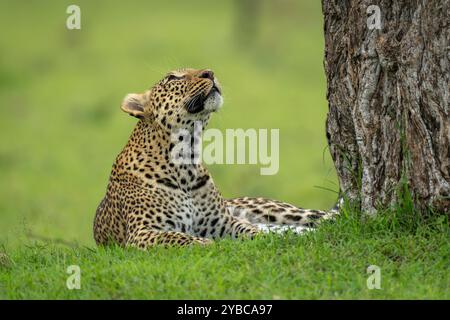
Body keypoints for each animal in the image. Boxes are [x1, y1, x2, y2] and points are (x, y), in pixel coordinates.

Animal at [93, 67, 340, 248]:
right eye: (173, 77)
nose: (209, 73)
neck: (186, 158)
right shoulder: (142, 232)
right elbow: (179, 238)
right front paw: (209, 245)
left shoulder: (223, 222)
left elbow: (248, 229)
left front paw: (260, 238)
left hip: (281, 211)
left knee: (325, 218)